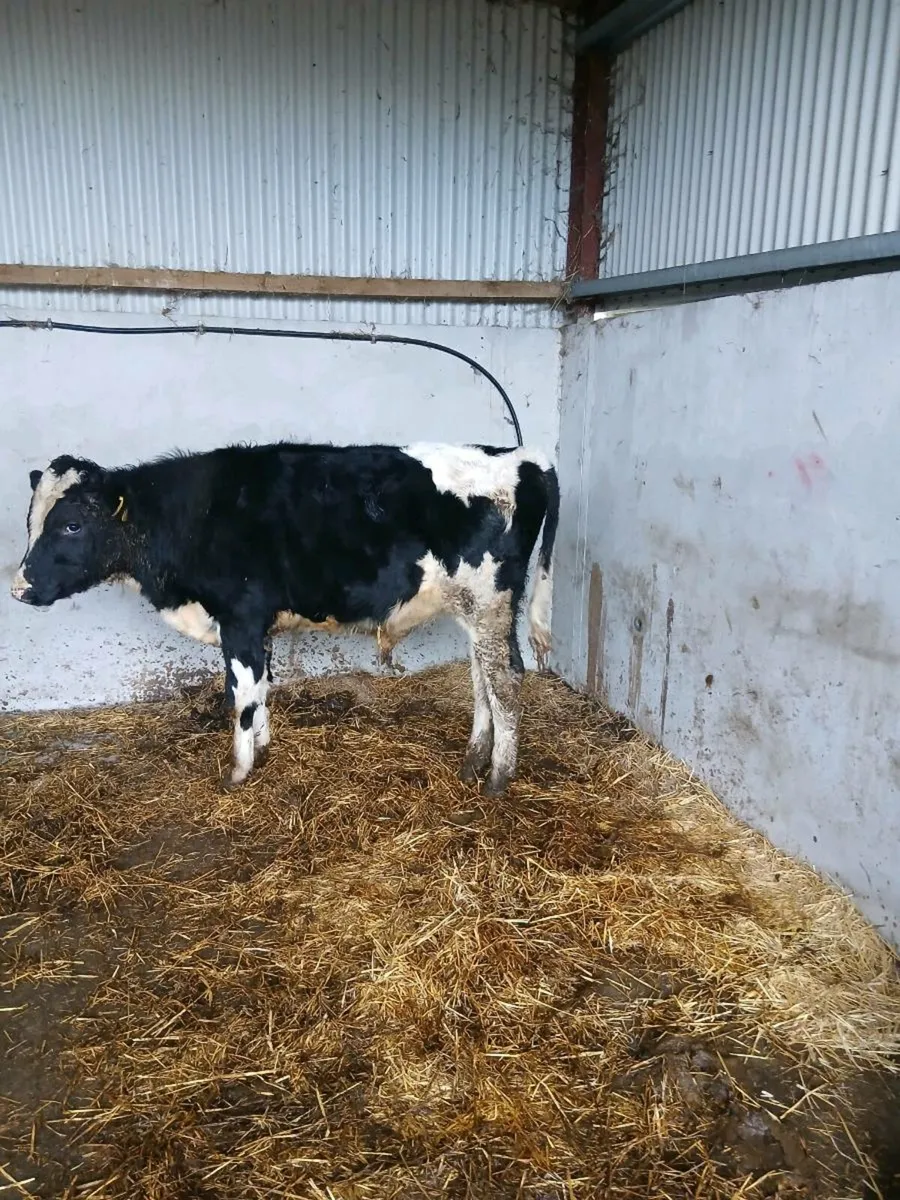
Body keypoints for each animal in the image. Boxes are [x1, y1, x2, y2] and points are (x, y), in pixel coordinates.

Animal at [11, 441, 559, 796]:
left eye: (71, 524)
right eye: (30, 521)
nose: (19, 587)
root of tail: (522, 456)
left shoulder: (240, 619)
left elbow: (240, 695)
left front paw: (238, 772)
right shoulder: (260, 626)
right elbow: (261, 688)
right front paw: (263, 747)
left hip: (489, 601)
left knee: (506, 679)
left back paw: (498, 778)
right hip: (476, 610)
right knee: (482, 679)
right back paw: (472, 761)